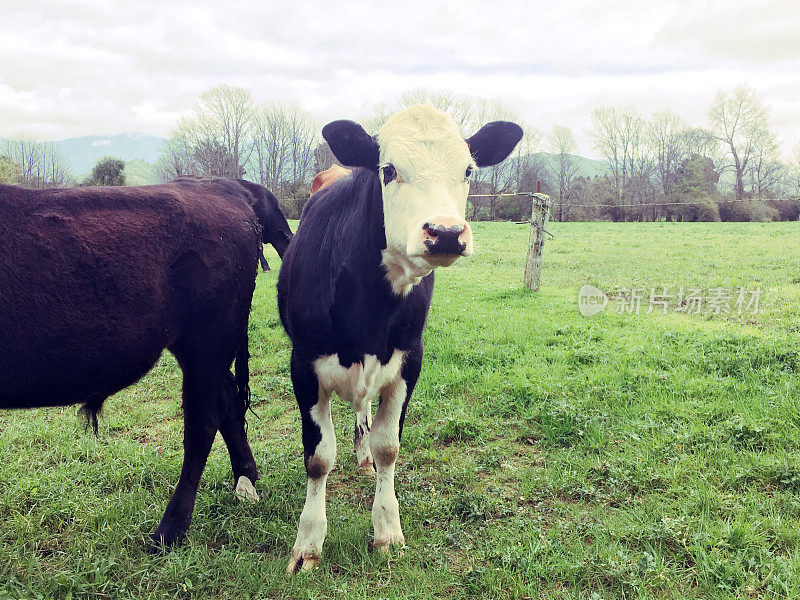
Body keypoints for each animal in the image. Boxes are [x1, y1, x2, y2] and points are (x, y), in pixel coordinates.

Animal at [0, 176, 288, 552]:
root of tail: (222, 184)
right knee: (228, 403)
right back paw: (245, 478)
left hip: (208, 342)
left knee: (202, 423)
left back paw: (169, 531)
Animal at [276, 105, 524, 576]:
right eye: (388, 170)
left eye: (468, 169)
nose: (446, 232)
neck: (370, 311)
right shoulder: (304, 365)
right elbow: (318, 457)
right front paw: (308, 543)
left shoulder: (410, 360)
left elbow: (388, 446)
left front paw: (387, 529)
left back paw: (363, 455)